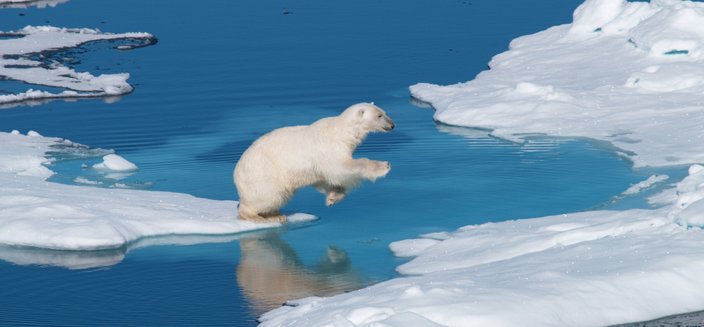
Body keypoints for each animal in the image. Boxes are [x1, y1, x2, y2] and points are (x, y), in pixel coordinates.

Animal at [234, 104, 394, 224]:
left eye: (384, 112)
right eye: (379, 115)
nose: (392, 125)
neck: (342, 131)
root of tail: (237, 173)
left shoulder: (316, 166)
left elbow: (324, 179)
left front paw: (333, 197)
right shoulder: (329, 147)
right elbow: (341, 168)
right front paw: (383, 166)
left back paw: (276, 215)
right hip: (263, 174)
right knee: (268, 196)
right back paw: (257, 216)